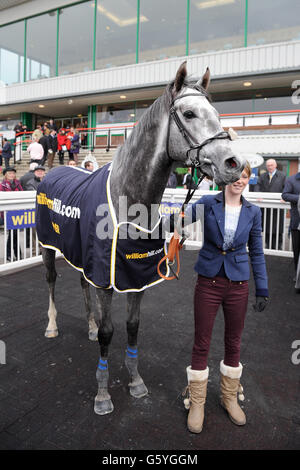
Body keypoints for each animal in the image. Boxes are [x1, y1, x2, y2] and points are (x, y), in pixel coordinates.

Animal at [38, 62, 245, 414]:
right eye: (189, 113)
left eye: (217, 114)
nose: (234, 163)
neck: (129, 197)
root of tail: (50, 171)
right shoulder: (108, 277)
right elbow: (109, 331)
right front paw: (103, 394)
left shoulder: (135, 274)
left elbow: (133, 327)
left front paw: (135, 381)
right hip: (48, 248)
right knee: (52, 281)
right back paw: (52, 326)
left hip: (82, 255)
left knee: (82, 282)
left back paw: (88, 326)